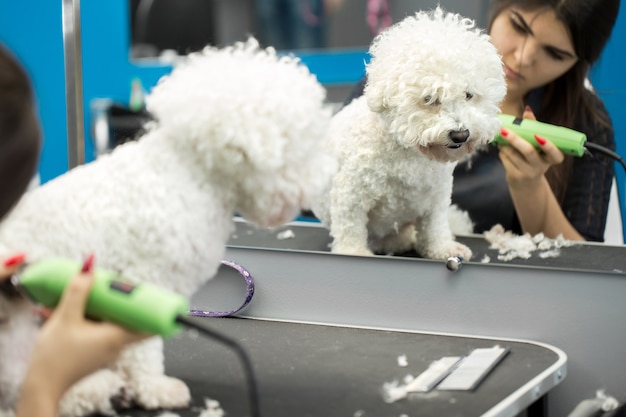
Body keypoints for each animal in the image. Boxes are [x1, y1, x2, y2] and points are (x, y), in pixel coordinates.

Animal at [0, 39, 334, 416]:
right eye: (305, 144)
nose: (327, 175)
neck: (189, 173)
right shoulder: (146, 278)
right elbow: (142, 351)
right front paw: (154, 388)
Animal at [310, 6, 504, 258]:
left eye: (469, 95)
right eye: (430, 99)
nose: (461, 135)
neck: (408, 153)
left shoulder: (437, 195)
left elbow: (434, 226)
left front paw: (442, 248)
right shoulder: (350, 193)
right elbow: (350, 227)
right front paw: (354, 252)